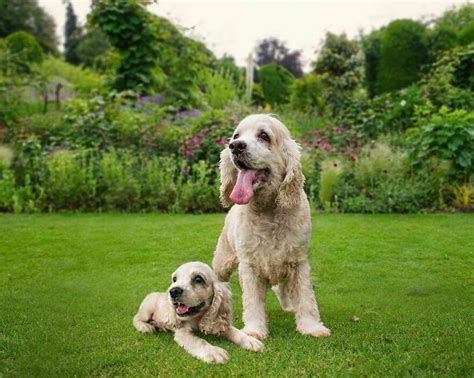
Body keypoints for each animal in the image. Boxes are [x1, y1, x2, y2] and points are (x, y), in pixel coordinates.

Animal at [133, 262, 264, 364]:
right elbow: (199, 341)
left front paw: (250, 340)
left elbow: (235, 331)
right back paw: (146, 327)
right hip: (147, 309)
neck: (197, 317)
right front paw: (214, 352)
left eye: (198, 279)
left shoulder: (218, 322)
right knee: (136, 318)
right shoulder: (182, 333)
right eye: (174, 279)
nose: (173, 291)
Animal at [214, 114, 330, 340]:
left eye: (264, 136)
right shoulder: (249, 266)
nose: (235, 146)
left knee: (282, 289)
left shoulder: (298, 262)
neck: (268, 211)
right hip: (222, 261)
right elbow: (252, 302)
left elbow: (305, 297)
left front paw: (311, 327)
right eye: (236, 136)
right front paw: (254, 330)